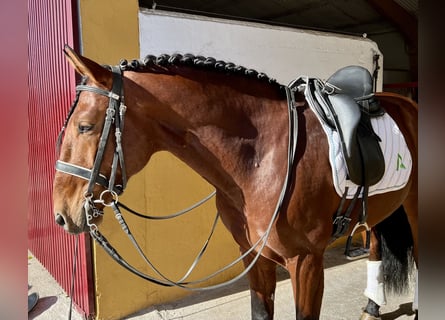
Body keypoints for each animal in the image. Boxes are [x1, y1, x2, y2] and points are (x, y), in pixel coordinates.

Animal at [53, 45, 416, 320]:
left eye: (85, 127)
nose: (61, 214)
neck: (264, 156)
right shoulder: (253, 255)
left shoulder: (306, 261)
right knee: (376, 248)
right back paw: (371, 308)